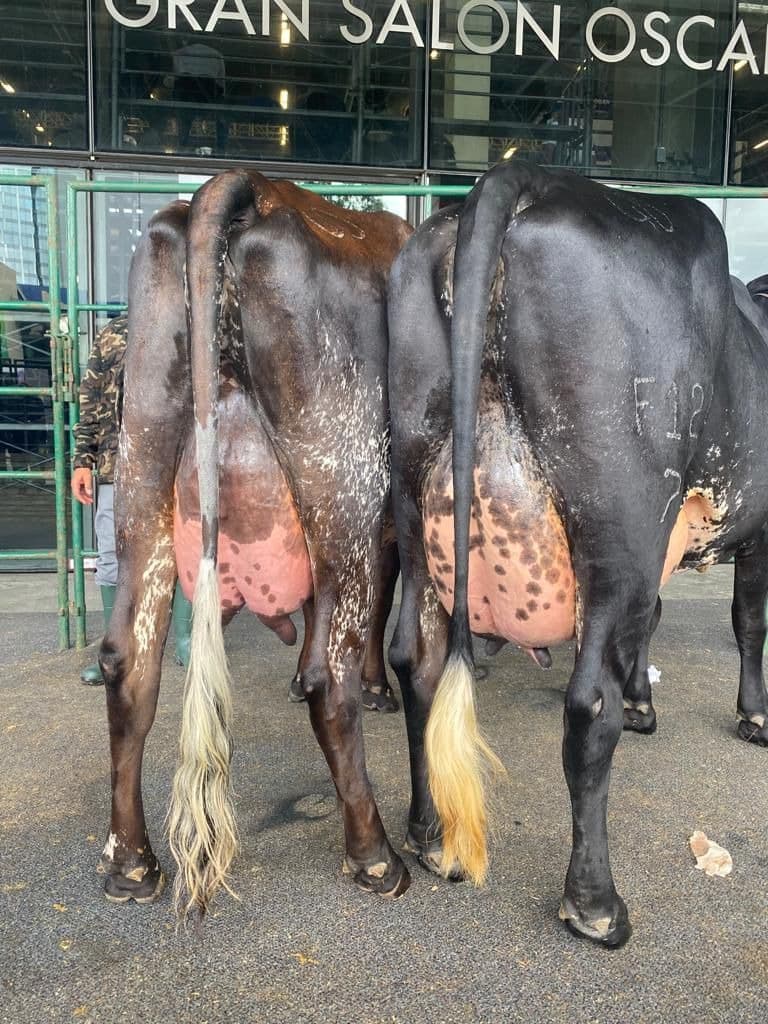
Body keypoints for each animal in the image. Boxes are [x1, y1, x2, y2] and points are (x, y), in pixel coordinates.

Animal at [97, 171, 412, 917]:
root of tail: (251, 185)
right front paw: (378, 686)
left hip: (144, 455)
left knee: (130, 659)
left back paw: (131, 864)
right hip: (343, 477)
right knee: (332, 670)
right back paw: (375, 857)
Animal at [387, 159, 768, 947]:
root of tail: (520, 176)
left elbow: (655, 623)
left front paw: (649, 700)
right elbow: (749, 621)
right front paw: (753, 715)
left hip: (413, 505)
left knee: (416, 658)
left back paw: (430, 834)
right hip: (618, 519)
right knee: (590, 707)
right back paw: (594, 905)